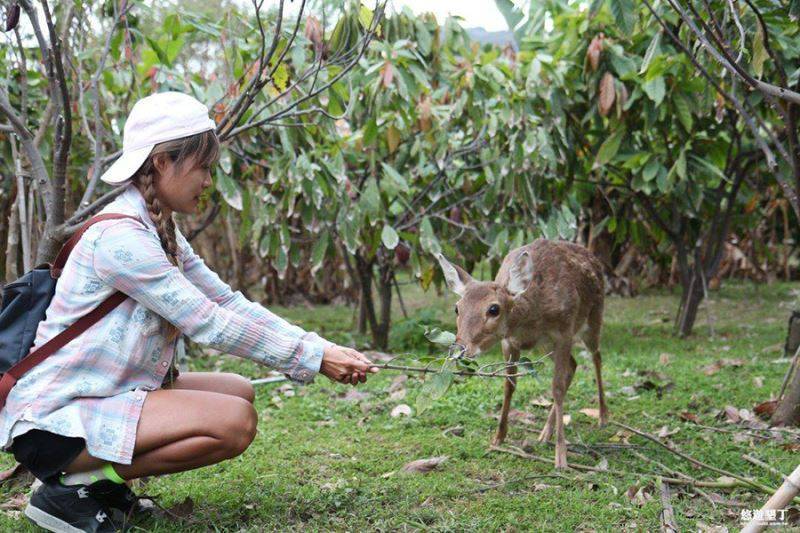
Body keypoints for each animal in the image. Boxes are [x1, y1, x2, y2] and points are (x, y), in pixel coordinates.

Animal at [438, 239, 608, 468]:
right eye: (457, 308)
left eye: (494, 309)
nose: (459, 350)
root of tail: (595, 259)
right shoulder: (509, 342)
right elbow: (509, 385)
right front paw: (498, 438)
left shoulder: (564, 332)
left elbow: (557, 388)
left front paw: (561, 457)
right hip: (547, 346)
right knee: (573, 365)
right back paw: (545, 433)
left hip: (593, 318)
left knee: (596, 356)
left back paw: (602, 417)